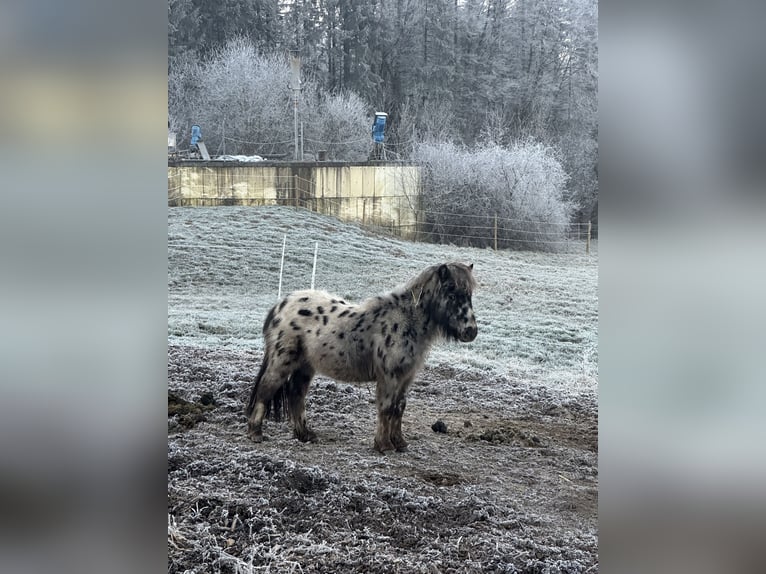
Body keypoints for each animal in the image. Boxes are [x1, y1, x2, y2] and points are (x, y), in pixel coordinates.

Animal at [246, 262, 476, 454]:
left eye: (470, 294)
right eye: (452, 291)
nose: (471, 331)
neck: (405, 321)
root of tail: (281, 305)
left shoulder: (406, 377)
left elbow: (399, 407)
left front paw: (400, 443)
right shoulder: (389, 377)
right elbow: (387, 408)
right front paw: (384, 446)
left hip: (305, 366)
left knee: (296, 394)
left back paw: (305, 434)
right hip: (282, 361)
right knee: (266, 389)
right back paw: (255, 433)